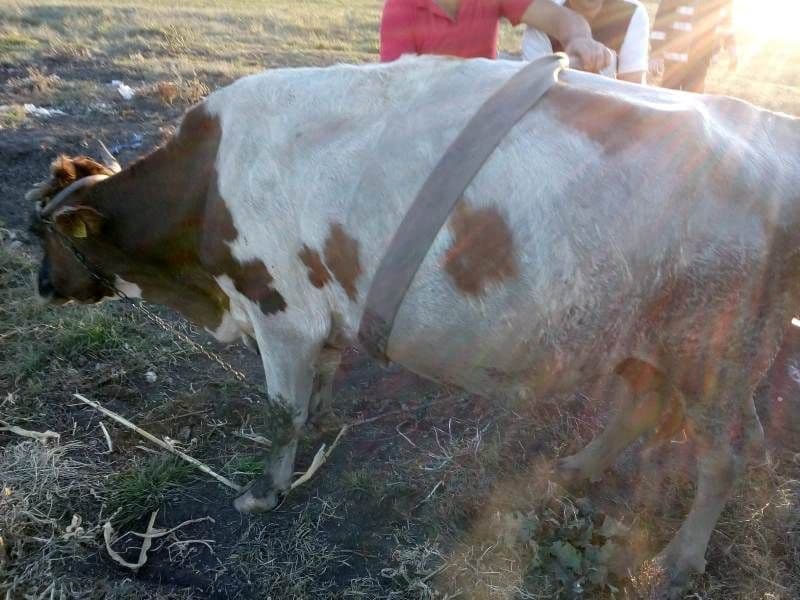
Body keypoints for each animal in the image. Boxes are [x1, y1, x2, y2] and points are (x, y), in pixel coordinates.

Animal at [27, 56, 800, 597]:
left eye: (49, 236)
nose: (40, 286)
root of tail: (767, 133)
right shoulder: (316, 314)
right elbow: (319, 384)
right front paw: (324, 420)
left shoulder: (279, 308)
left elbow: (279, 412)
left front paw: (263, 492)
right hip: (652, 335)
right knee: (641, 401)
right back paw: (580, 467)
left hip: (718, 351)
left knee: (725, 452)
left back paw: (679, 559)